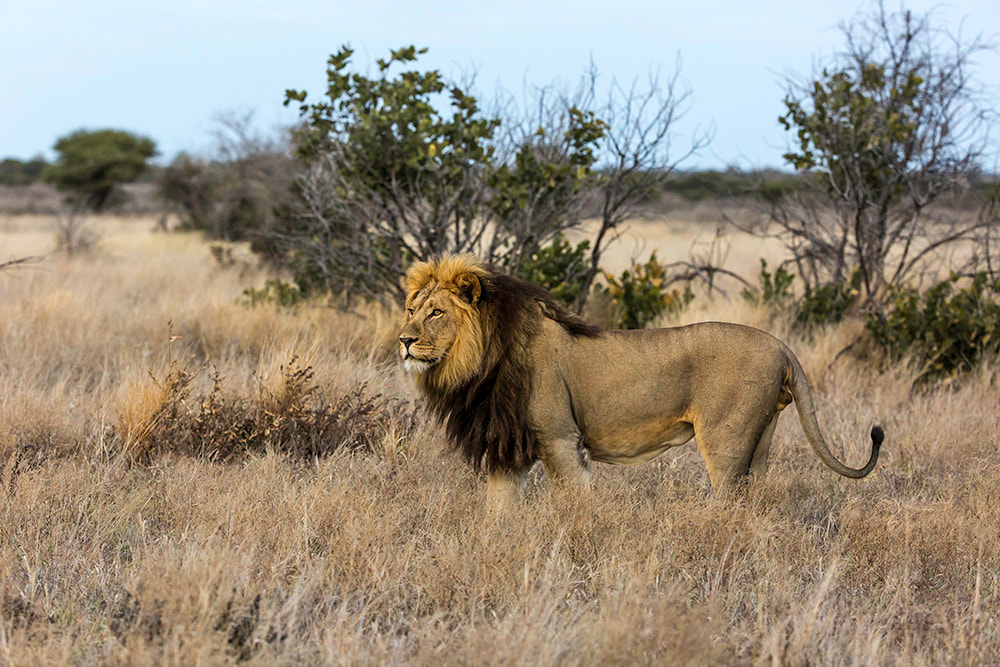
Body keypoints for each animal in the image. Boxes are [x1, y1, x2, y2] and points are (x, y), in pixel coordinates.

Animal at [399, 254, 882, 509]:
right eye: (411, 309)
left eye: (436, 313)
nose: (403, 341)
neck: (479, 363)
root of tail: (782, 346)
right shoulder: (508, 444)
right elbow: (497, 513)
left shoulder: (559, 438)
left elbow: (575, 502)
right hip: (760, 442)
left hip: (725, 442)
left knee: (730, 500)